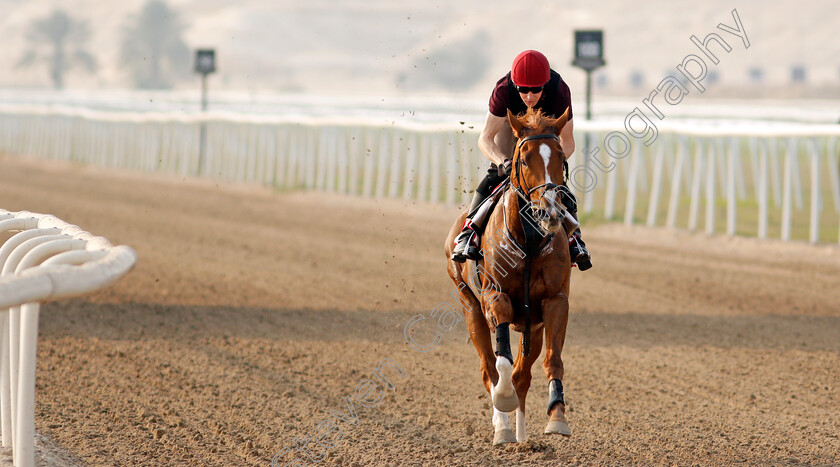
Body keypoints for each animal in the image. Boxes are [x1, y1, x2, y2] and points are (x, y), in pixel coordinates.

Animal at [442, 107, 576, 446]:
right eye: (524, 159)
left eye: (560, 157)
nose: (550, 212)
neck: (529, 239)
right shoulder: (495, 296)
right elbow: (500, 362)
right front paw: (503, 399)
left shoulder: (554, 302)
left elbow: (551, 360)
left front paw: (557, 416)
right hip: (469, 304)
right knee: (488, 367)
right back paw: (502, 428)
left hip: (534, 326)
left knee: (522, 375)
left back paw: (520, 435)